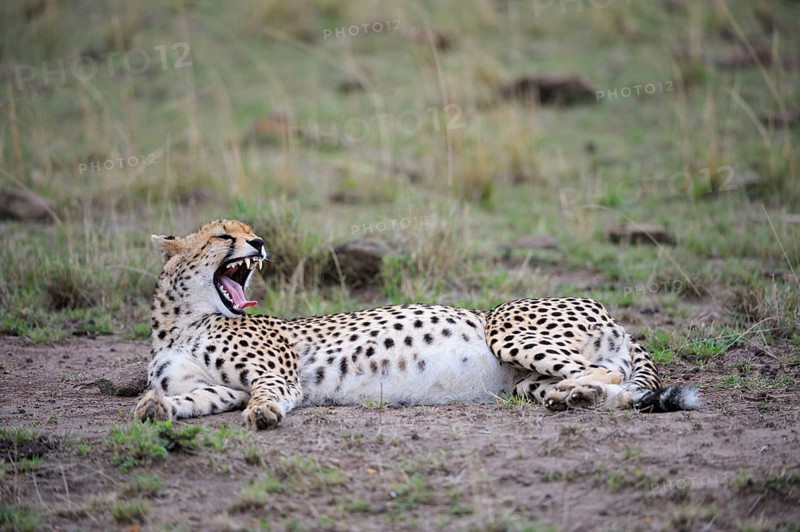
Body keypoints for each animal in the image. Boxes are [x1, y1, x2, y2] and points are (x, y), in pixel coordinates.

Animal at [134, 219, 699, 429]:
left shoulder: (279, 373)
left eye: (248, 231)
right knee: (618, 390)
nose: (258, 244)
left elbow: (269, 392)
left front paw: (265, 412)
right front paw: (154, 406)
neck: (180, 321)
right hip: (525, 382)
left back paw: (574, 393)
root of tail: (607, 309)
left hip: (506, 327)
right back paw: (572, 398)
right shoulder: (218, 388)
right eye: (223, 235)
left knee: (609, 374)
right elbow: (187, 399)